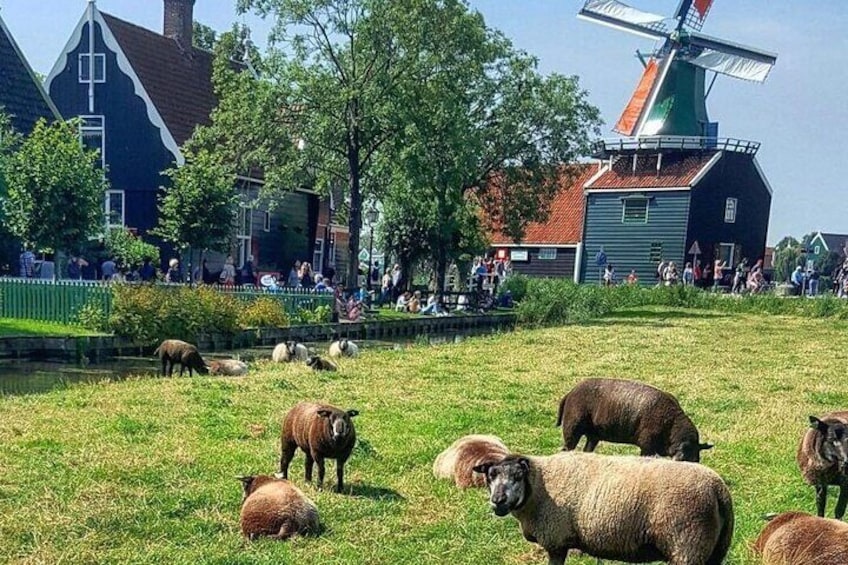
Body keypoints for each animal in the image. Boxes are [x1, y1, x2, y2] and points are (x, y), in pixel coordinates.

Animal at [474, 452, 732, 565]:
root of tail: (718, 489)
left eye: (518, 476)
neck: (539, 484)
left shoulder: (556, 540)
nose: (498, 500)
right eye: (490, 476)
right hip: (713, 551)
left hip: (687, 546)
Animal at [552, 376, 712, 460]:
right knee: (566, 448)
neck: (671, 425)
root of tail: (569, 393)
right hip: (572, 427)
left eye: (696, 458)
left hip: (593, 435)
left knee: (587, 449)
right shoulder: (646, 445)